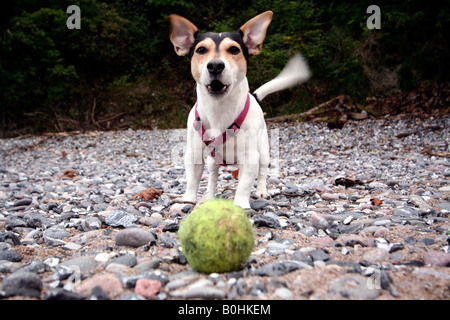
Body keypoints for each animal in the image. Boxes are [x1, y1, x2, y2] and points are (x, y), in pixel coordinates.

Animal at [169, 10, 310, 209]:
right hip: (212, 161)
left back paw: (261, 191)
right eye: (201, 50)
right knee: (213, 176)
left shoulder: (250, 156)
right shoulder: (194, 153)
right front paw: (188, 199)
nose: (215, 65)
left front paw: (241, 204)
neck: (219, 109)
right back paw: (209, 195)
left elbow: (244, 184)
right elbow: (193, 179)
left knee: (262, 173)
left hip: (263, 151)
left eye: (234, 49)